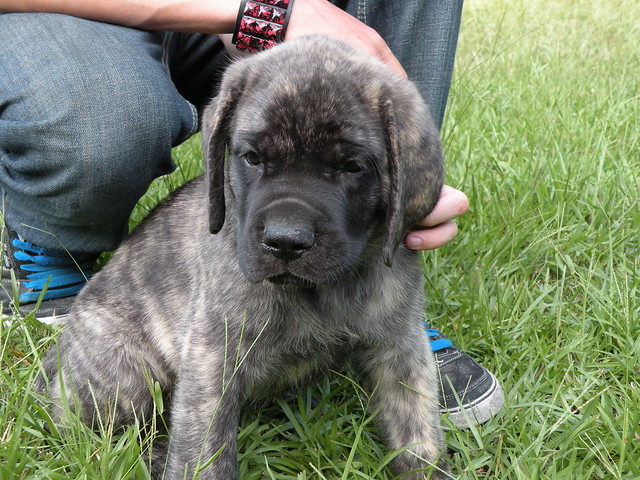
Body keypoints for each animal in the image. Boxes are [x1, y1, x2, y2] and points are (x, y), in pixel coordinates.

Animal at [38, 35, 450, 478]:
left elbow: (418, 435)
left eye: (353, 167)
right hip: (128, 377)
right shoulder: (213, 359)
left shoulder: (400, 350)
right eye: (252, 157)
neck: (319, 293)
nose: (285, 242)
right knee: (86, 433)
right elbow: (204, 454)